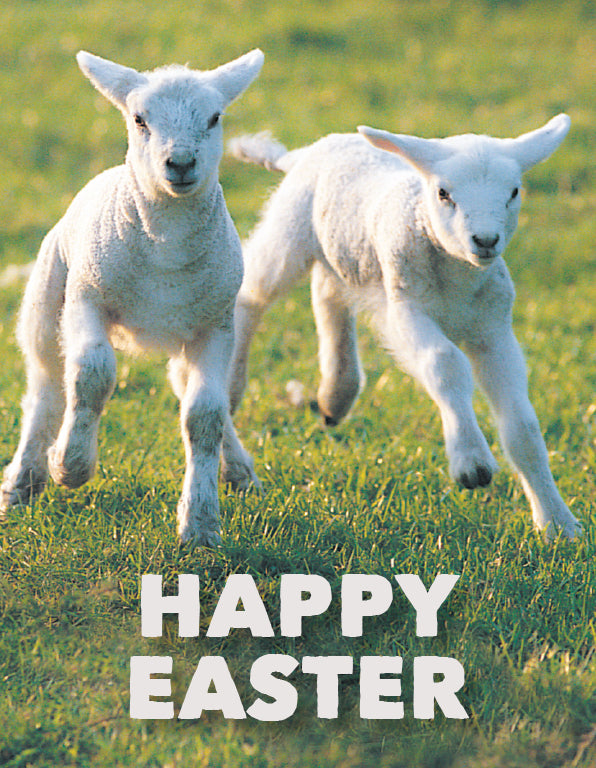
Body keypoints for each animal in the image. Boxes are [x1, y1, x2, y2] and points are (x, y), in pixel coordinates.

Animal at [0, 49, 265, 546]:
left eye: (215, 118)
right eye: (140, 119)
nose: (180, 162)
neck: (166, 249)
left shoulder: (215, 325)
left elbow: (204, 414)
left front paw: (200, 524)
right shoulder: (86, 299)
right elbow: (92, 375)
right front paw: (70, 465)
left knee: (195, 394)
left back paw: (239, 471)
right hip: (47, 302)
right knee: (45, 388)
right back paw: (23, 482)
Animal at [228, 115, 581, 540]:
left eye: (514, 191)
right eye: (444, 193)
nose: (485, 240)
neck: (457, 278)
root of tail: (310, 150)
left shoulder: (494, 330)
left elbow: (522, 426)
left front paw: (558, 522)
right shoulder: (406, 311)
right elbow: (444, 362)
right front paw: (471, 463)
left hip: (343, 252)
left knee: (328, 291)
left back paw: (336, 395)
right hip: (290, 227)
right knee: (252, 294)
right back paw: (234, 386)